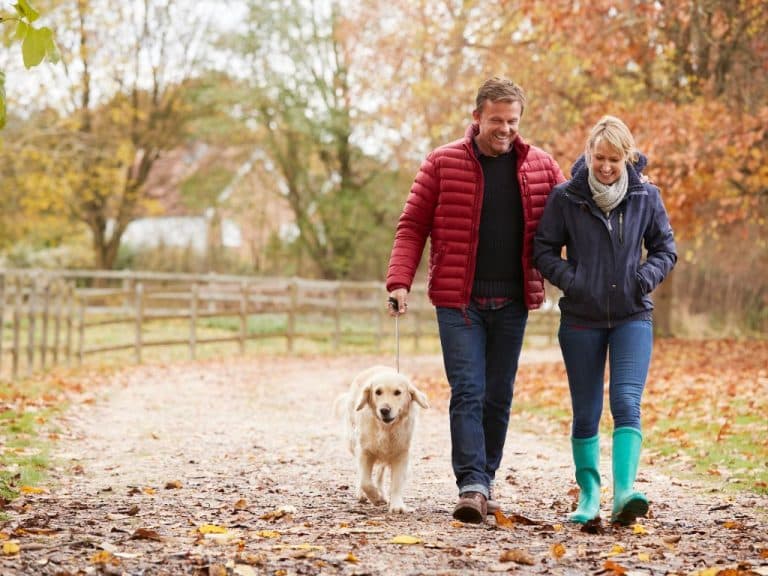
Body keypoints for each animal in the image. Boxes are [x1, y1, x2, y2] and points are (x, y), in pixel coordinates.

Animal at [338, 364, 428, 512]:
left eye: (397, 392)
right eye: (378, 392)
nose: (384, 410)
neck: (386, 429)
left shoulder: (401, 454)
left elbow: (396, 483)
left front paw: (397, 506)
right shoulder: (365, 451)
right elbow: (365, 481)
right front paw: (375, 498)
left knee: (380, 474)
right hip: (352, 442)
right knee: (361, 474)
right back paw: (363, 494)